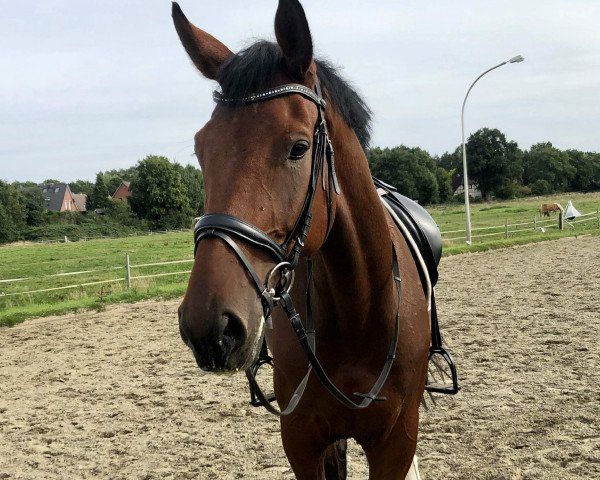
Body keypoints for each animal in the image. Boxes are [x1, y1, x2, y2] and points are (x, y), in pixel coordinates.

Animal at [173, 1, 432, 478]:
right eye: (202, 149)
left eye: (298, 148)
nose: (209, 325)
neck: (358, 308)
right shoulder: (302, 440)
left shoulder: (397, 440)